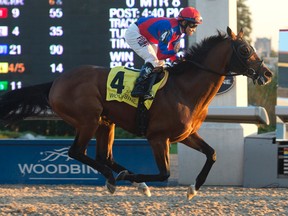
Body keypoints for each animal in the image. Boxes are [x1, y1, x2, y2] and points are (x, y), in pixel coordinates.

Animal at [0, 27, 272, 200]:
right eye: (245, 50)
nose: (268, 74)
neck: (184, 89)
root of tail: (56, 82)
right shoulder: (158, 138)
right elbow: (164, 173)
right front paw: (137, 178)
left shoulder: (184, 135)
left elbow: (212, 154)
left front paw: (193, 189)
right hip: (88, 119)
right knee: (77, 152)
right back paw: (117, 178)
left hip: (105, 122)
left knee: (104, 156)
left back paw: (129, 180)